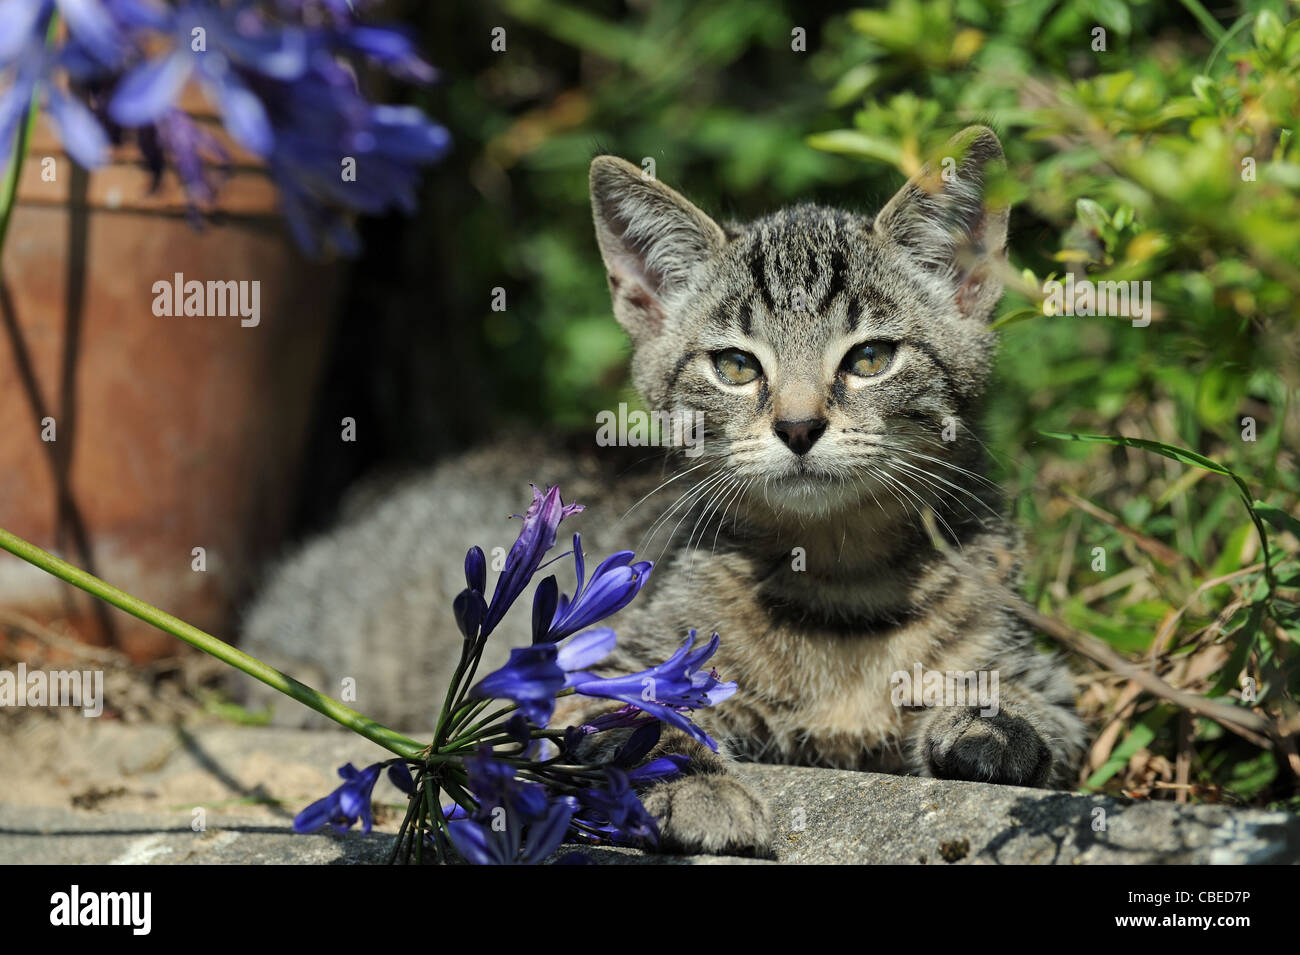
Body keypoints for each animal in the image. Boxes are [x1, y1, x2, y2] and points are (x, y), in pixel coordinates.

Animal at [241, 128, 1086, 857]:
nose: (800, 425)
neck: (841, 580)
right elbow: (633, 714)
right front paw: (695, 781)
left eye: (871, 357)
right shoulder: (588, 671)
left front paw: (991, 723)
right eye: (737, 366)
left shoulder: (1049, 678)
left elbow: (1042, 711)